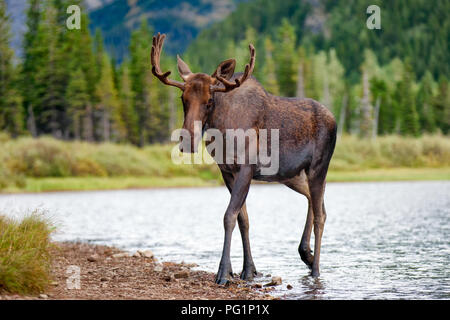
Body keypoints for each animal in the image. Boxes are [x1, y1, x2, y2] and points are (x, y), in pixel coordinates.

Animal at [149, 32, 336, 284]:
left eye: (210, 101)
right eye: (182, 98)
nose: (187, 140)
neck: (222, 131)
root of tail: (335, 119)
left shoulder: (246, 168)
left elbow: (229, 216)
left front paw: (223, 273)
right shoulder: (227, 171)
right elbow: (243, 219)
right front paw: (247, 270)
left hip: (318, 167)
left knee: (320, 216)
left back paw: (315, 269)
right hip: (292, 175)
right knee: (315, 202)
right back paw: (306, 253)